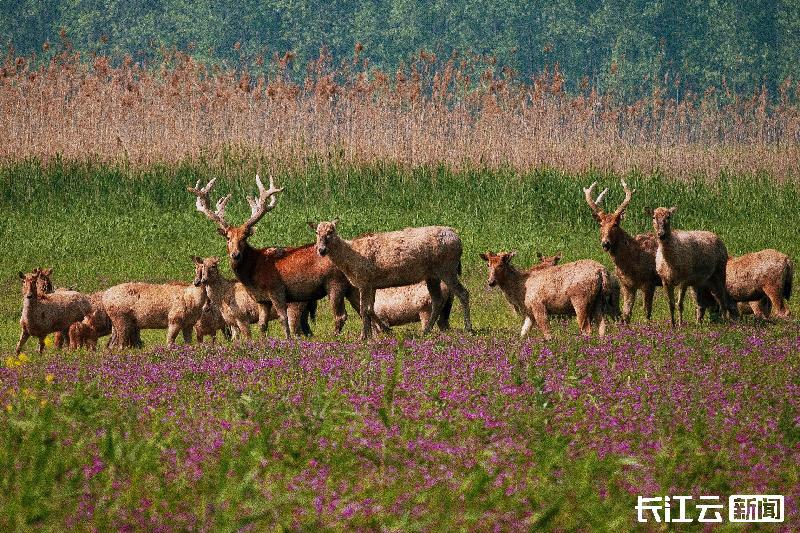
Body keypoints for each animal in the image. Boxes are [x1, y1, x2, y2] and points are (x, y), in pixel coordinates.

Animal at [189, 177, 368, 338]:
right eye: (228, 238)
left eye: (244, 237)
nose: (235, 254)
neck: (253, 272)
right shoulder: (262, 299)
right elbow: (262, 325)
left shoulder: (277, 290)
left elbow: (283, 319)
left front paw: (287, 341)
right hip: (351, 286)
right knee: (363, 310)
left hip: (334, 283)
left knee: (340, 316)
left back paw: (335, 338)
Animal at [314, 219, 476, 336]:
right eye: (316, 232)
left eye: (331, 231)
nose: (321, 250)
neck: (349, 261)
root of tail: (458, 238)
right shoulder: (372, 284)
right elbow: (370, 309)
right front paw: (381, 332)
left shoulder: (364, 280)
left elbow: (364, 309)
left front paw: (364, 336)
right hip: (433, 276)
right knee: (437, 300)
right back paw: (426, 331)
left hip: (447, 268)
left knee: (463, 293)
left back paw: (468, 328)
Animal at [478, 251, 616, 338]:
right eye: (488, 264)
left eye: (501, 264)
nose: (491, 282)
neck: (520, 292)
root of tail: (602, 271)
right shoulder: (529, 312)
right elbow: (523, 333)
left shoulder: (538, 305)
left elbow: (547, 332)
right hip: (599, 300)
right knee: (602, 326)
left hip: (581, 299)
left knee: (586, 329)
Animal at [580, 180, 664, 320]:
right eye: (601, 224)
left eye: (615, 224)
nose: (605, 243)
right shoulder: (626, 284)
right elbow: (626, 314)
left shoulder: (649, 281)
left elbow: (646, 312)